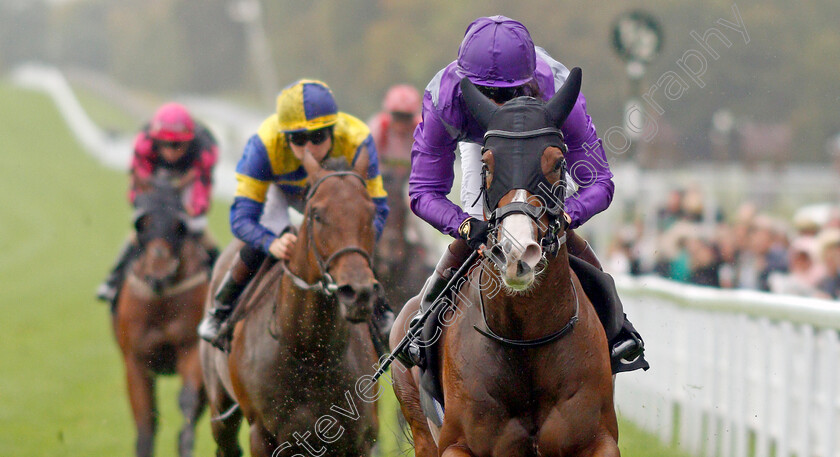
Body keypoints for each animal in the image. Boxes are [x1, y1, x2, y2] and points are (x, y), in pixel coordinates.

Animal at [113, 184, 210, 456]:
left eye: (179, 225)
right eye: (141, 224)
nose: (159, 272)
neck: (161, 302)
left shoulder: (191, 347)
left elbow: (187, 399)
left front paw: (186, 441)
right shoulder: (135, 361)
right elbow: (146, 421)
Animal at [203, 153, 384, 456]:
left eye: (370, 213)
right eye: (317, 215)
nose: (357, 292)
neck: (309, 350)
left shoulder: (359, 438)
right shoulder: (262, 434)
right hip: (220, 407)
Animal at [390, 67, 620, 456]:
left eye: (558, 163)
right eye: (487, 164)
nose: (516, 252)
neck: (526, 341)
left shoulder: (598, 441)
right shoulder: (457, 445)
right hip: (419, 425)